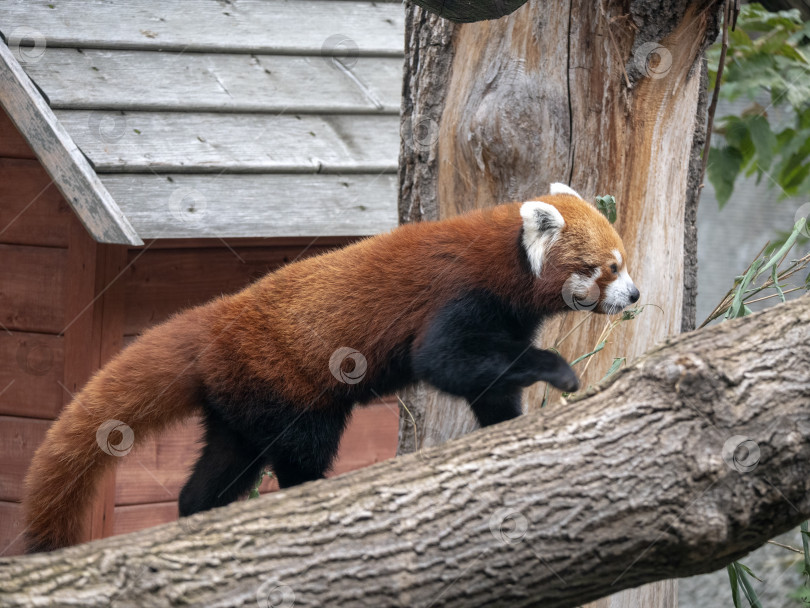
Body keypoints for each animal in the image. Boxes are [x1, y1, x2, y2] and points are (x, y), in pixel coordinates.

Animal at [20, 184, 636, 552]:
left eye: (622, 262)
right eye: (607, 267)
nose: (632, 295)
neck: (508, 262)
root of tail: (215, 318)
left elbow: (489, 386)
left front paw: (507, 424)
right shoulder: (458, 297)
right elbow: (443, 361)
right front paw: (558, 371)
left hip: (240, 404)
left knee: (222, 469)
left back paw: (199, 516)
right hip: (285, 387)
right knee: (301, 453)